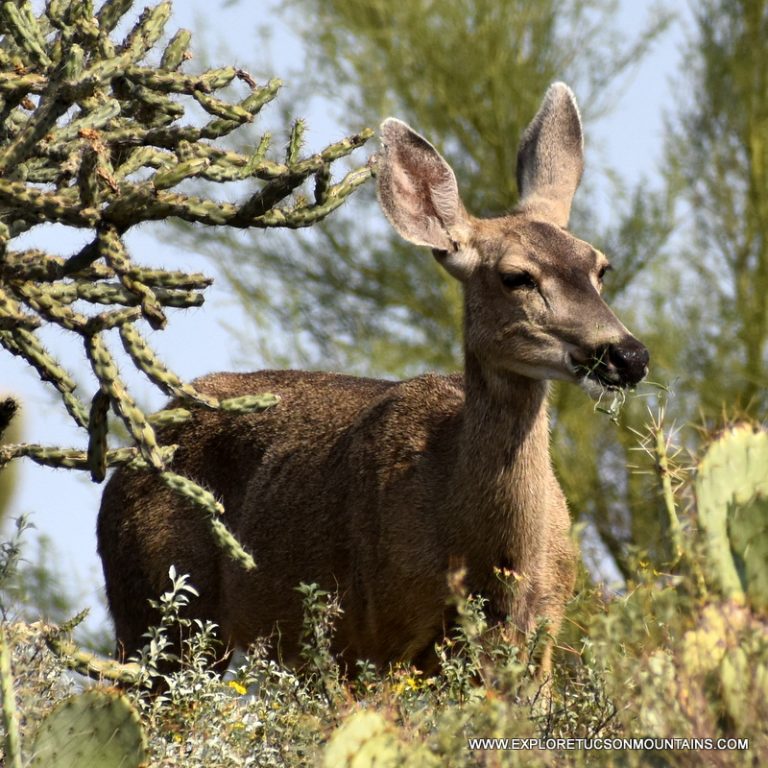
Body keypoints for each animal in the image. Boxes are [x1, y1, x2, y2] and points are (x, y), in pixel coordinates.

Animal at [96, 84, 648, 680]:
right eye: (516, 277)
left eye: (599, 267)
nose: (628, 355)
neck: (489, 561)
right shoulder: (377, 630)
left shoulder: (544, 629)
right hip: (153, 611)